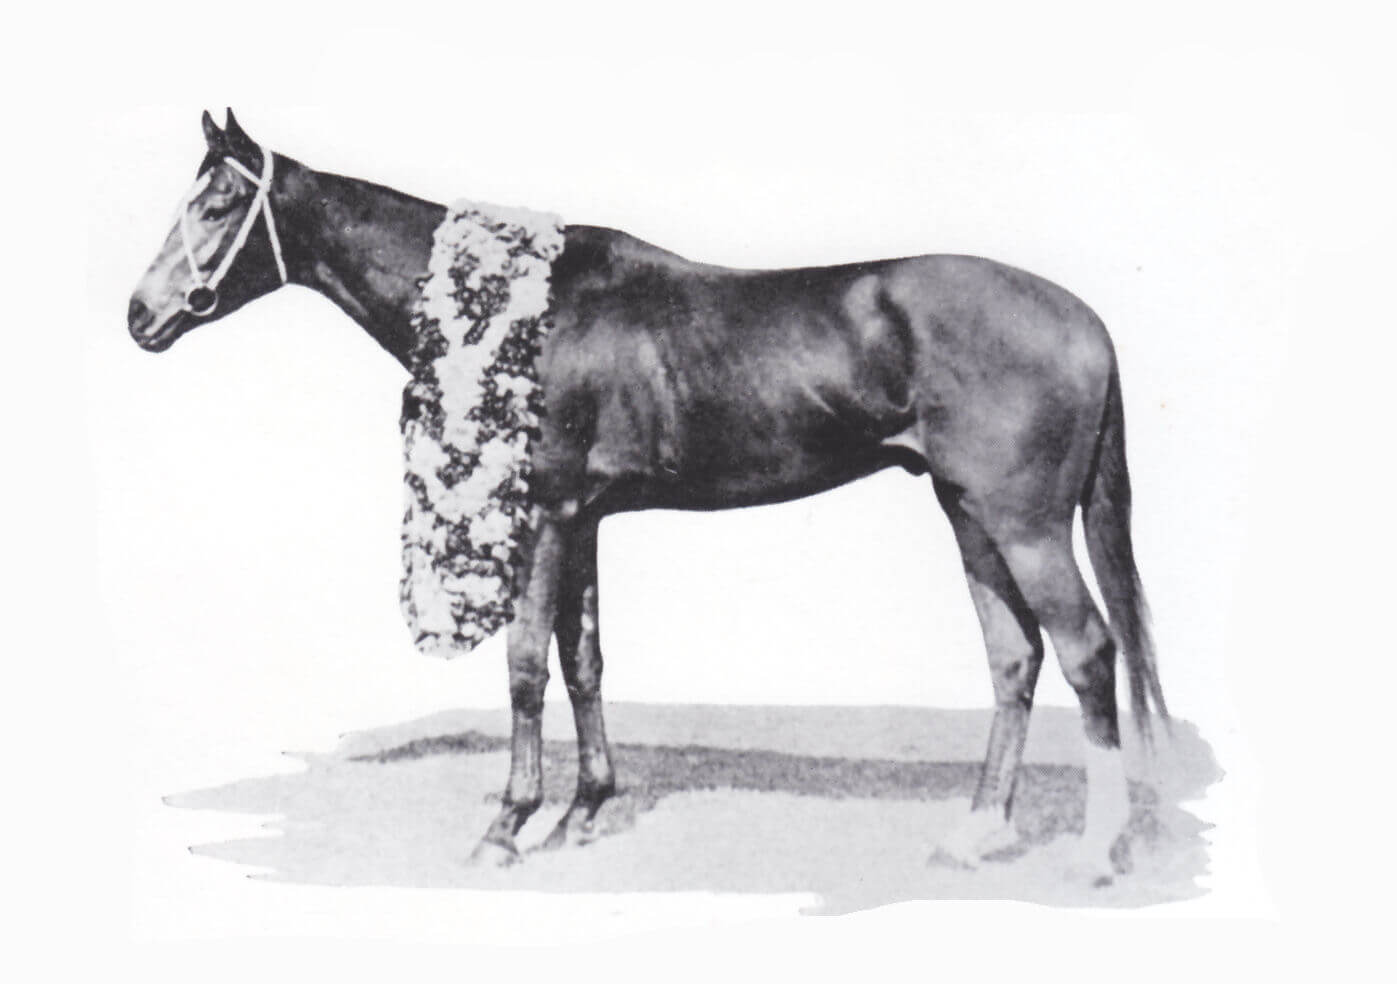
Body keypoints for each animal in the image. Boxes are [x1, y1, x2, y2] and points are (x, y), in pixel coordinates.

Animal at [127, 110, 1166, 883]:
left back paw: (1095, 852)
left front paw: (506, 826)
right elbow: (583, 659)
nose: (142, 313)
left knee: (1086, 650)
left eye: (220, 201)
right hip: (968, 514)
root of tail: (1084, 319)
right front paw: (583, 812)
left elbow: (524, 666)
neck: (518, 309)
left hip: (1024, 524)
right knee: (1013, 657)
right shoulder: (584, 520)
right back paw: (978, 832)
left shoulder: (543, 515)